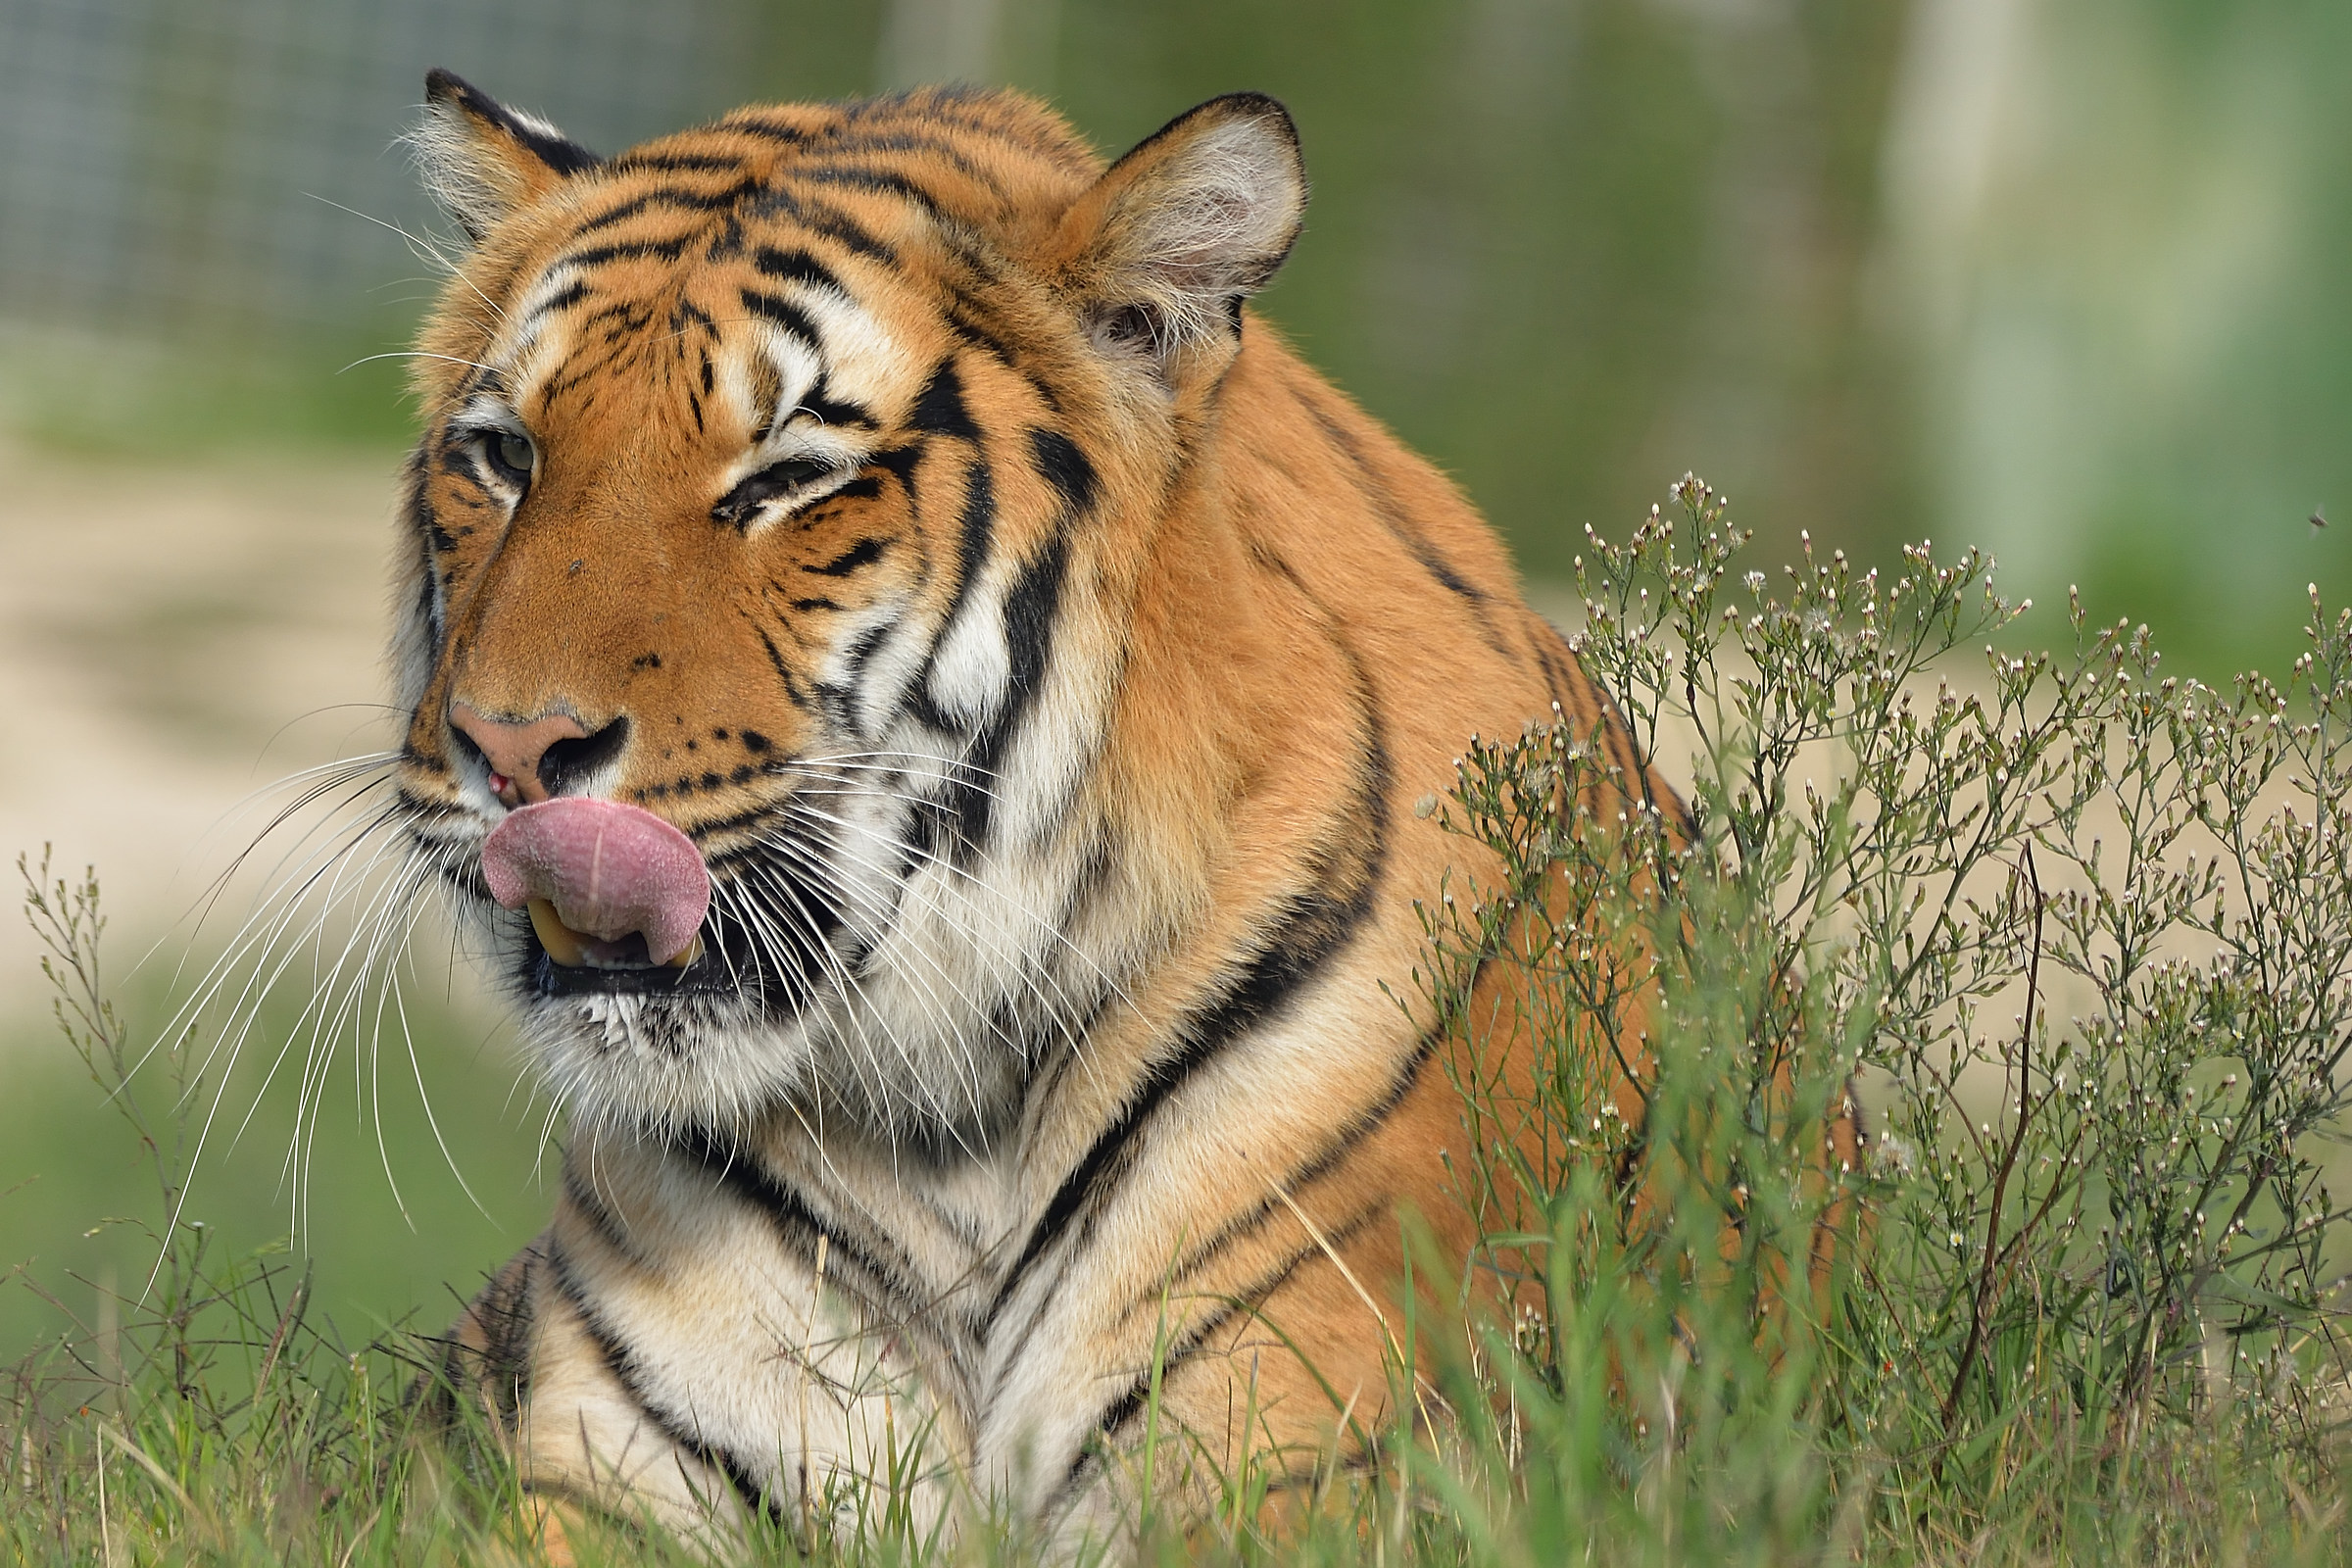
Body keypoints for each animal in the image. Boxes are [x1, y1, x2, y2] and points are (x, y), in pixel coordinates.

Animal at [393, 69, 1698, 1547]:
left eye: (790, 479)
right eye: (506, 454)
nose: (511, 746)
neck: (945, 1127)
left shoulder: (1282, 1474)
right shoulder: (610, 1475)